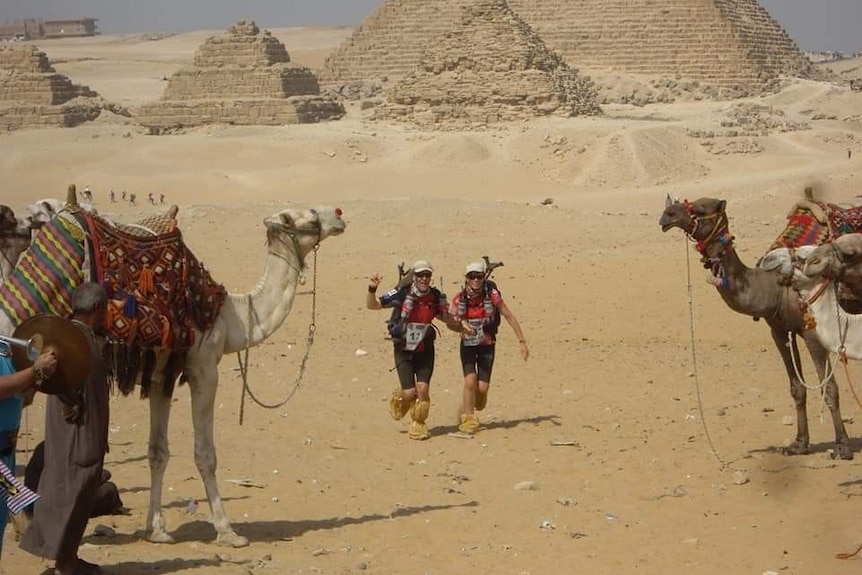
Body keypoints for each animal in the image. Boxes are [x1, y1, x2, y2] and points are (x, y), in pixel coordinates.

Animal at [4, 204, 348, 548]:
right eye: (311, 215)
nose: (339, 216)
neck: (231, 316)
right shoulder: (204, 369)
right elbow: (205, 454)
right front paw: (227, 531)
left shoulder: (161, 377)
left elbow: (157, 451)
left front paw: (156, 529)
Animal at [660, 200, 852, 462]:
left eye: (702, 207)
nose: (666, 215)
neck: (774, 287)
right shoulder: (779, 330)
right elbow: (797, 388)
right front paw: (798, 444)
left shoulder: (813, 332)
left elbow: (829, 388)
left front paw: (842, 446)